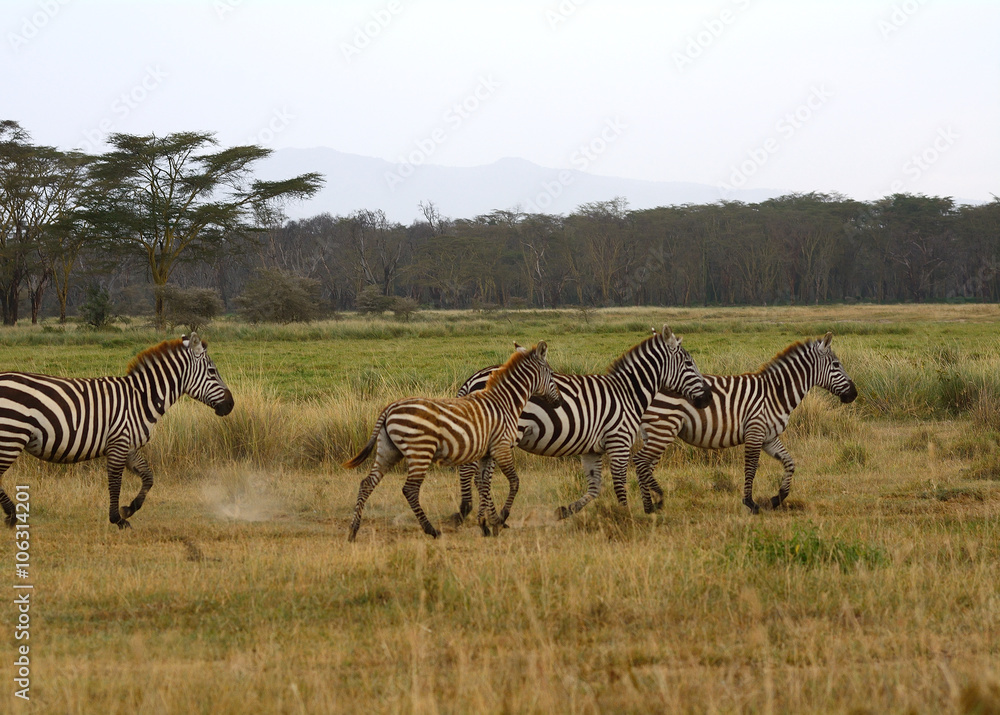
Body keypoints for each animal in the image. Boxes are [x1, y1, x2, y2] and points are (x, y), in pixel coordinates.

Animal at [0, 333, 234, 529]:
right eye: (212, 371)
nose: (230, 405)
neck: (141, 398)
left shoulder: (129, 445)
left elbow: (148, 477)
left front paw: (129, 508)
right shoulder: (118, 442)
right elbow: (115, 482)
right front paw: (117, 519)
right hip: (11, 436)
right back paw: (12, 515)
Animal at [343, 341, 561, 542]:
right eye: (552, 374)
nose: (558, 402)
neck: (505, 403)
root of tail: (389, 408)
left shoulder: (487, 452)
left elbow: (484, 485)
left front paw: (486, 525)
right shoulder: (501, 447)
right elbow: (514, 482)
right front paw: (501, 519)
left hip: (388, 450)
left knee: (367, 484)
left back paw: (353, 531)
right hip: (420, 451)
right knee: (410, 489)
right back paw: (432, 530)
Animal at [454, 325, 712, 523]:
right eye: (689, 363)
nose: (708, 398)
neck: (628, 393)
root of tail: (472, 379)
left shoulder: (592, 450)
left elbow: (595, 487)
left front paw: (564, 511)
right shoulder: (619, 442)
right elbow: (620, 483)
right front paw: (626, 516)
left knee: (476, 474)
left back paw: (482, 514)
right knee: (477, 475)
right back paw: (480, 514)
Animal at [633, 332, 857, 514]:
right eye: (836, 365)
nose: (854, 394)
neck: (775, 394)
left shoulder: (769, 437)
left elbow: (790, 463)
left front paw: (777, 498)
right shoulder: (755, 431)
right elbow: (751, 467)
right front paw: (750, 503)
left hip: (654, 431)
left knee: (645, 465)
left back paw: (648, 505)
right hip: (663, 427)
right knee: (640, 461)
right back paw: (651, 505)